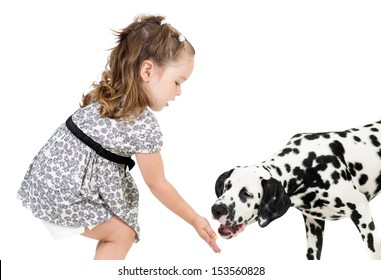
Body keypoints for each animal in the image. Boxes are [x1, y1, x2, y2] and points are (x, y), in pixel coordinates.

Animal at [211, 121, 380, 260]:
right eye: (227, 186)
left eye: (246, 194)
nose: (217, 209)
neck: (304, 166)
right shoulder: (314, 225)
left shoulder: (360, 209)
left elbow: (373, 252)